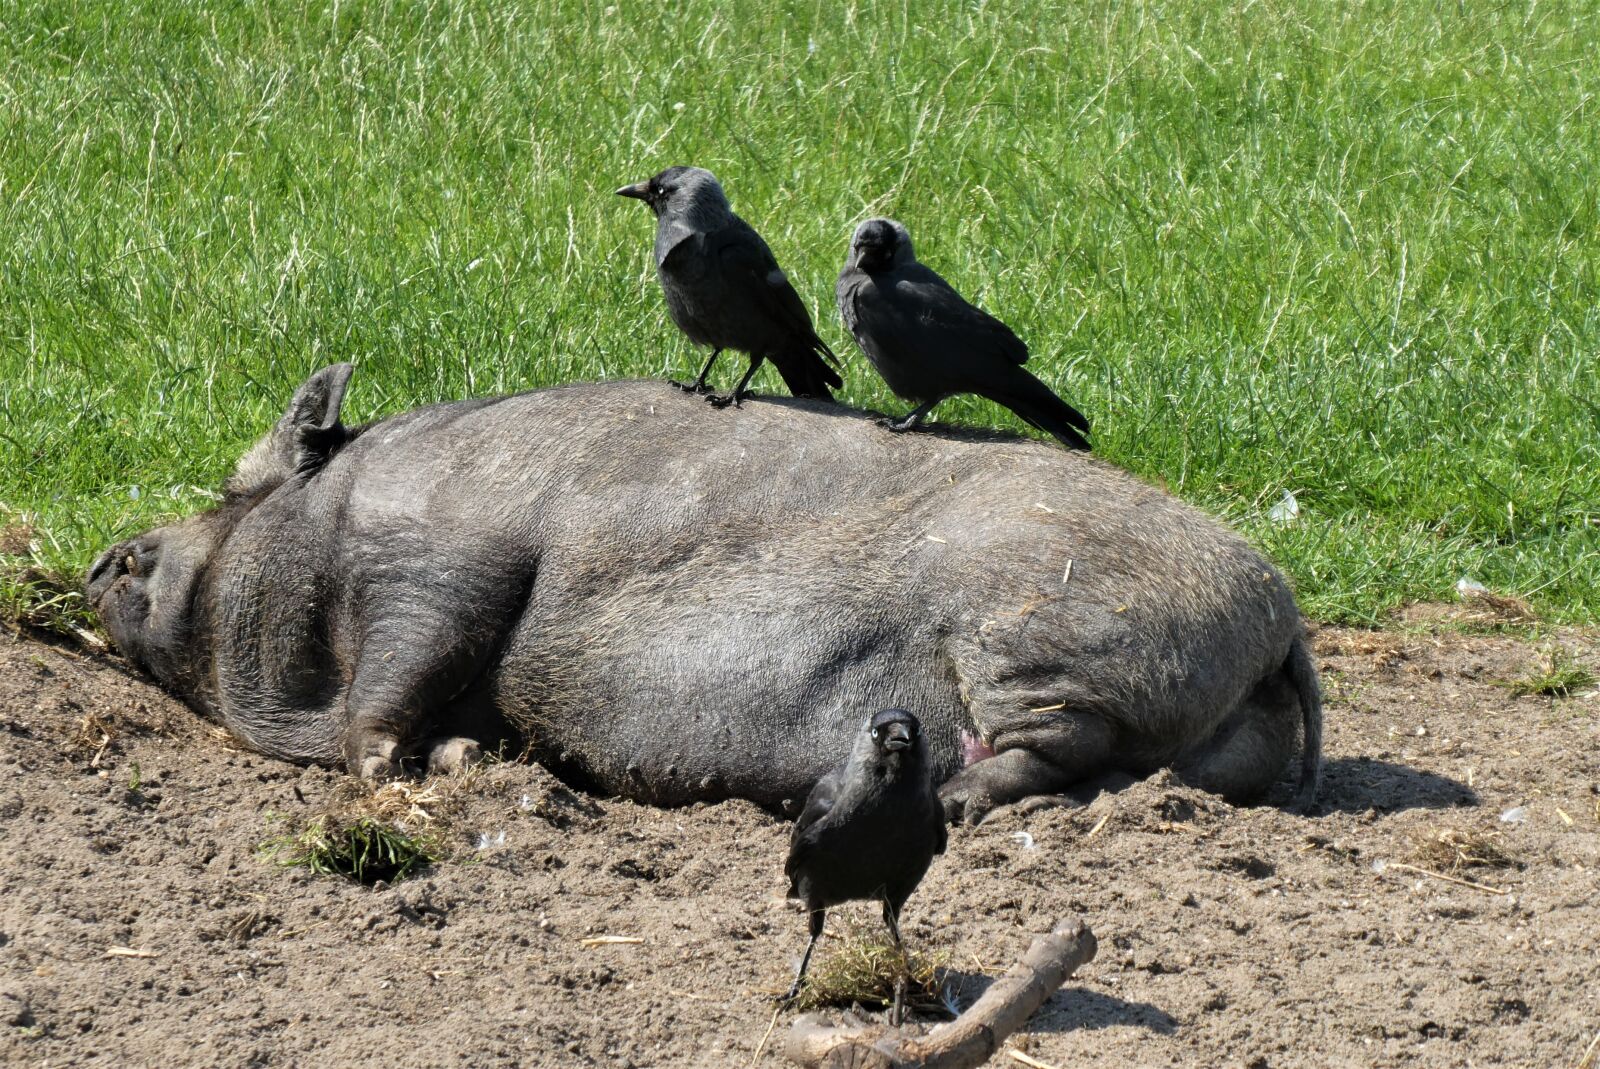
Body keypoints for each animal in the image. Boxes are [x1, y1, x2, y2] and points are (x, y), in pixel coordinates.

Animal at [86, 365, 1322, 823]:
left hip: (1039, 629)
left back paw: (956, 798)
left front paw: (404, 774)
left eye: (231, 489)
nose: (110, 556)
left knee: (1063, 745)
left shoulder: (445, 564)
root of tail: (1278, 611)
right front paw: (469, 760)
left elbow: (391, 692)